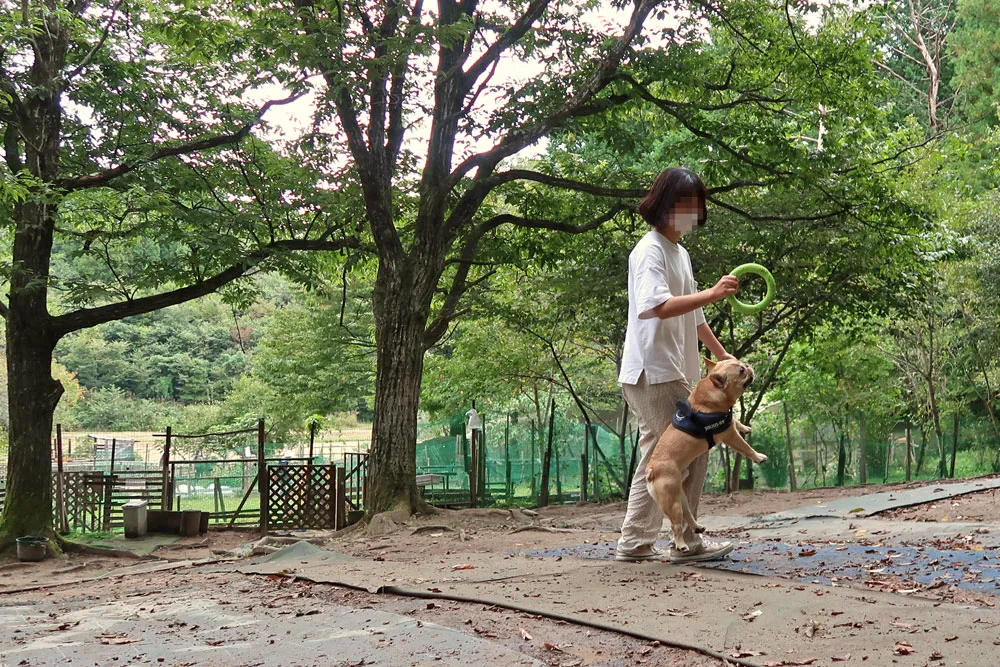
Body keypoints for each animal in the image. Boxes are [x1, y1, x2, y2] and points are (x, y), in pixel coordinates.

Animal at [644, 360, 768, 552]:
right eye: (741, 371)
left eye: (741, 364)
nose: (748, 365)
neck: (712, 392)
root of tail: (652, 470)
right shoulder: (729, 435)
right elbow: (745, 447)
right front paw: (758, 457)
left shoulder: (728, 422)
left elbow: (735, 420)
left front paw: (745, 427)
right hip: (672, 503)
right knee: (675, 525)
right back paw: (681, 545)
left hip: (680, 497)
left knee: (687, 514)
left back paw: (697, 527)